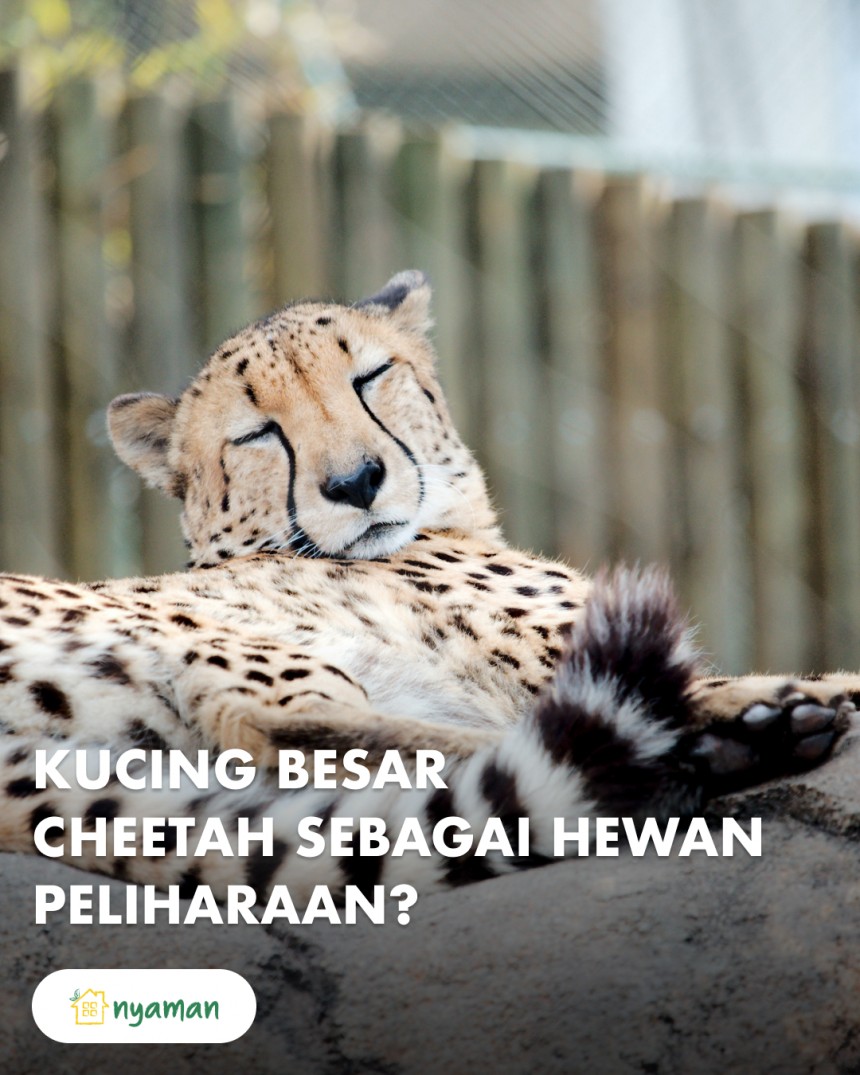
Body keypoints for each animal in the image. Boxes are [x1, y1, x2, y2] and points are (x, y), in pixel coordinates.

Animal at [1, 269, 857, 905]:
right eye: (257, 433)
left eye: (370, 376)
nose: (357, 481)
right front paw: (787, 697)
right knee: (290, 732)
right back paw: (719, 744)